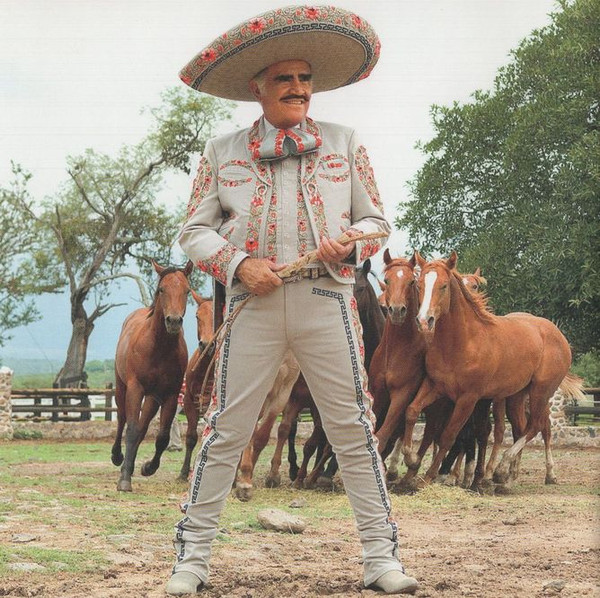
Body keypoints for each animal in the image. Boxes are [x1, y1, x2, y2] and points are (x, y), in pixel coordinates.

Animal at [112, 261, 192, 492]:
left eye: (187, 290)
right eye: (162, 289)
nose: (173, 321)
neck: (159, 348)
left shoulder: (170, 395)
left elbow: (162, 436)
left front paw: (148, 467)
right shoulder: (135, 388)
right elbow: (131, 429)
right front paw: (124, 480)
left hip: (152, 398)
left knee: (143, 426)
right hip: (122, 388)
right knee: (122, 419)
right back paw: (118, 457)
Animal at [401, 252, 584, 489]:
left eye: (443, 286)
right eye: (420, 284)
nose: (424, 321)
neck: (463, 342)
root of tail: (558, 334)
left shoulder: (468, 398)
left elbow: (450, 435)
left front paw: (432, 475)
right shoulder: (435, 386)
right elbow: (412, 411)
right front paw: (411, 460)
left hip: (541, 392)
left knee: (537, 426)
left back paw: (505, 470)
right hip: (517, 396)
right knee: (521, 428)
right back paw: (508, 476)